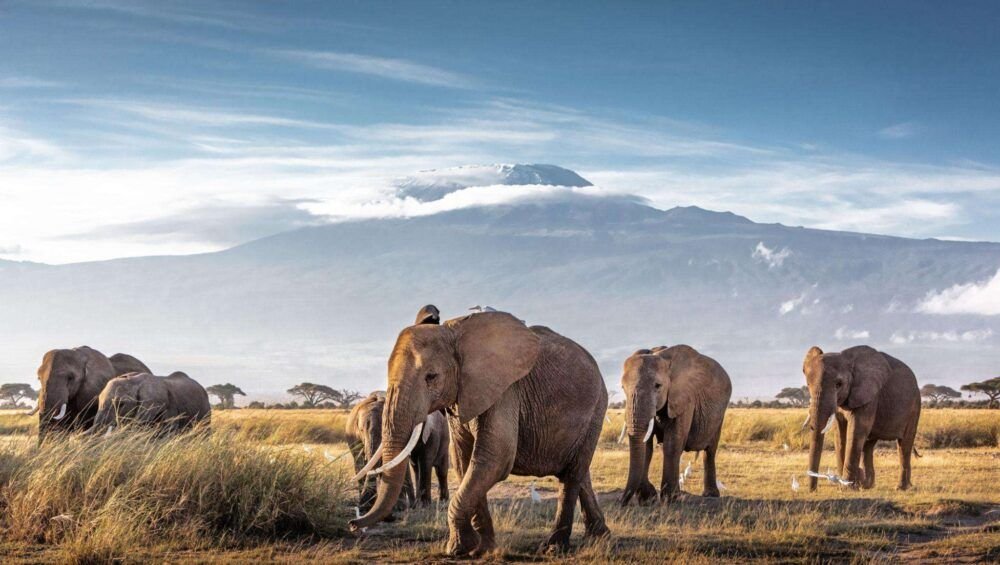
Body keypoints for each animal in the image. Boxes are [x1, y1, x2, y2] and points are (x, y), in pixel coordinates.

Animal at [348, 308, 604, 556]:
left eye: (431, 377)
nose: (352, 524)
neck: (454, 333)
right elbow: (465, 460)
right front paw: (481, 548)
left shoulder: (505, 391)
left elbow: (494, 458)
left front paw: (459, 549)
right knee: (579, 472)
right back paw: (599, 536)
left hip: (596, 409)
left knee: (571, 476)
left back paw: (555, 548)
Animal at [620, 346, 732, 504]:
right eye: (623, 388)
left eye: (658, 386)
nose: (621, 502)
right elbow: (646, 447)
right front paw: (648, 498)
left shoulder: (685, 399)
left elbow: (672, 444)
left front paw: (671, 498)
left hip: (719, 414)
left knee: (710, 451)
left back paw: (710, 495)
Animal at [804, 344, 920, 490]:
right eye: (808, 384)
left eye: (838, 384)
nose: (812, 490)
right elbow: (840, 434)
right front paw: (848, 485)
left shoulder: (869, 396)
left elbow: (856, 431)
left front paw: (847, 488)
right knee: (868, 445)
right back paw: (866, 485)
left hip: (914, 407)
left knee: (904, 445)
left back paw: (901, 487)